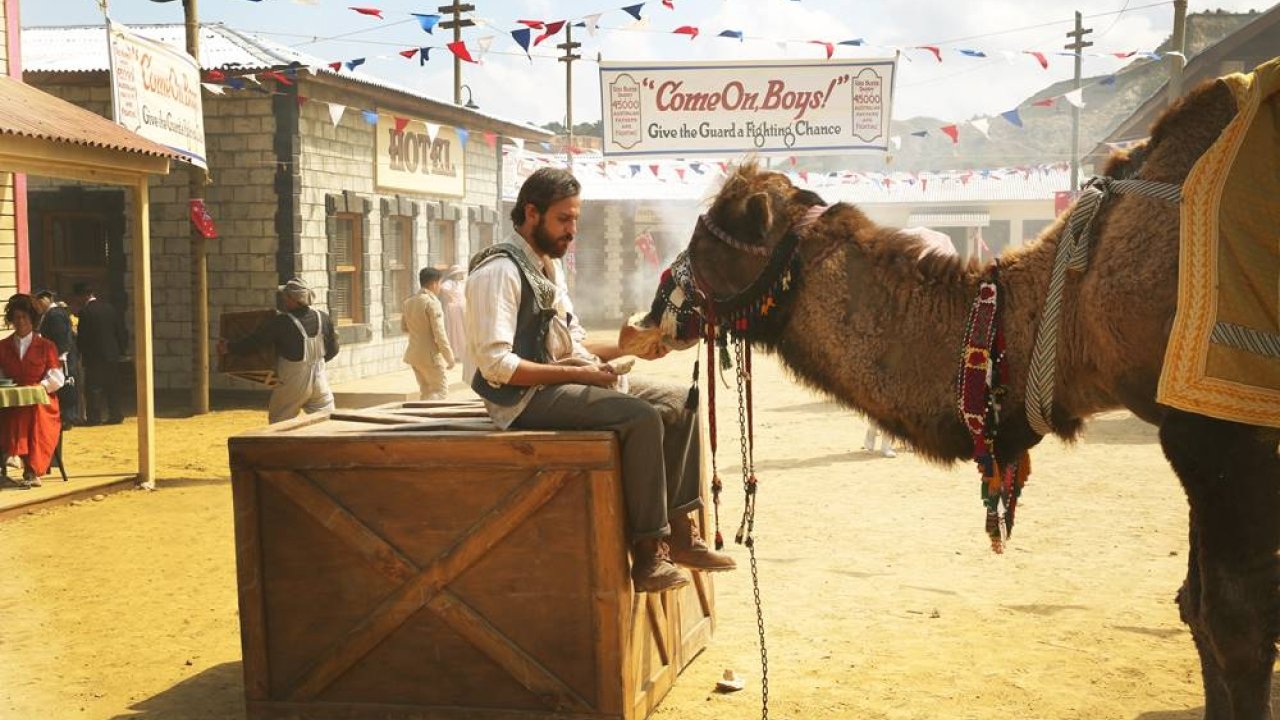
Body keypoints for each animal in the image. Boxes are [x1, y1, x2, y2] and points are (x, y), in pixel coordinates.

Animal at [637, 75, 1280, 712]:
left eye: (707, 240)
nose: (656, 304)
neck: (1075, 304)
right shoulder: (1193, 424)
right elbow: (1195, 607)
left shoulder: (1220, 425)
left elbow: (1233, 626)